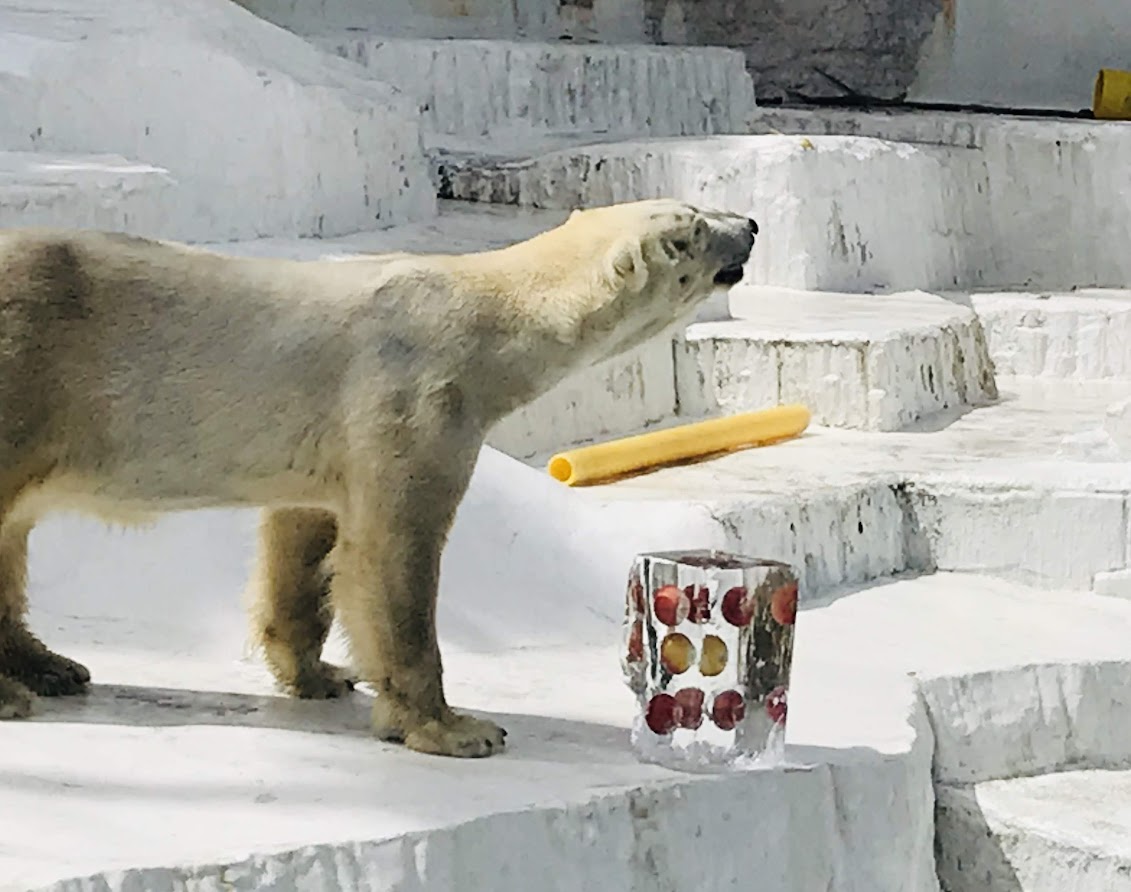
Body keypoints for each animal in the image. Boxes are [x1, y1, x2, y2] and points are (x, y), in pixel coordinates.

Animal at [0, 197, 760, 755]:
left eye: (700, 209)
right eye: (694, 230)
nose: (750, 225)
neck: (488, 313)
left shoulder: (329, 440)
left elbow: (304, 538)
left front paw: (319, 675)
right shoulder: (416, 398)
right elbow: (394, 551)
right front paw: (455, 727)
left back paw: (51, 666)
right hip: (27, 369)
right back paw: (19, 692)